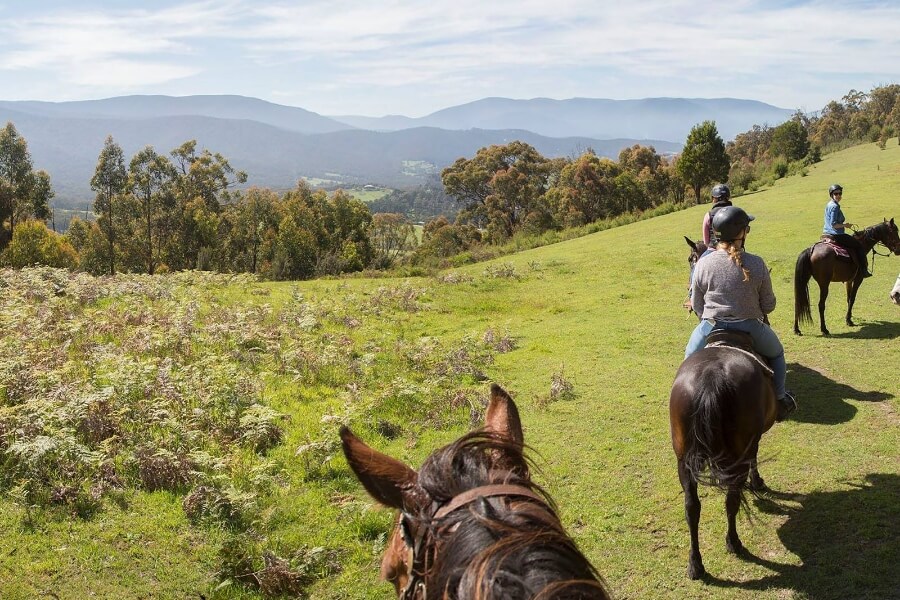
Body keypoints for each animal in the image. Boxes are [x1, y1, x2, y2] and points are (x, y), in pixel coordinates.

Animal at [668, 330, 772, 580]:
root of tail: (711, 377)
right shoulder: (752, 442)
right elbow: (755, 458)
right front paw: (757, 482)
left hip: (684, 462)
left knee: (691, 507)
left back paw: (695, 564)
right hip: (736, 456)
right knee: (731, 500)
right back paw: (734, 542)